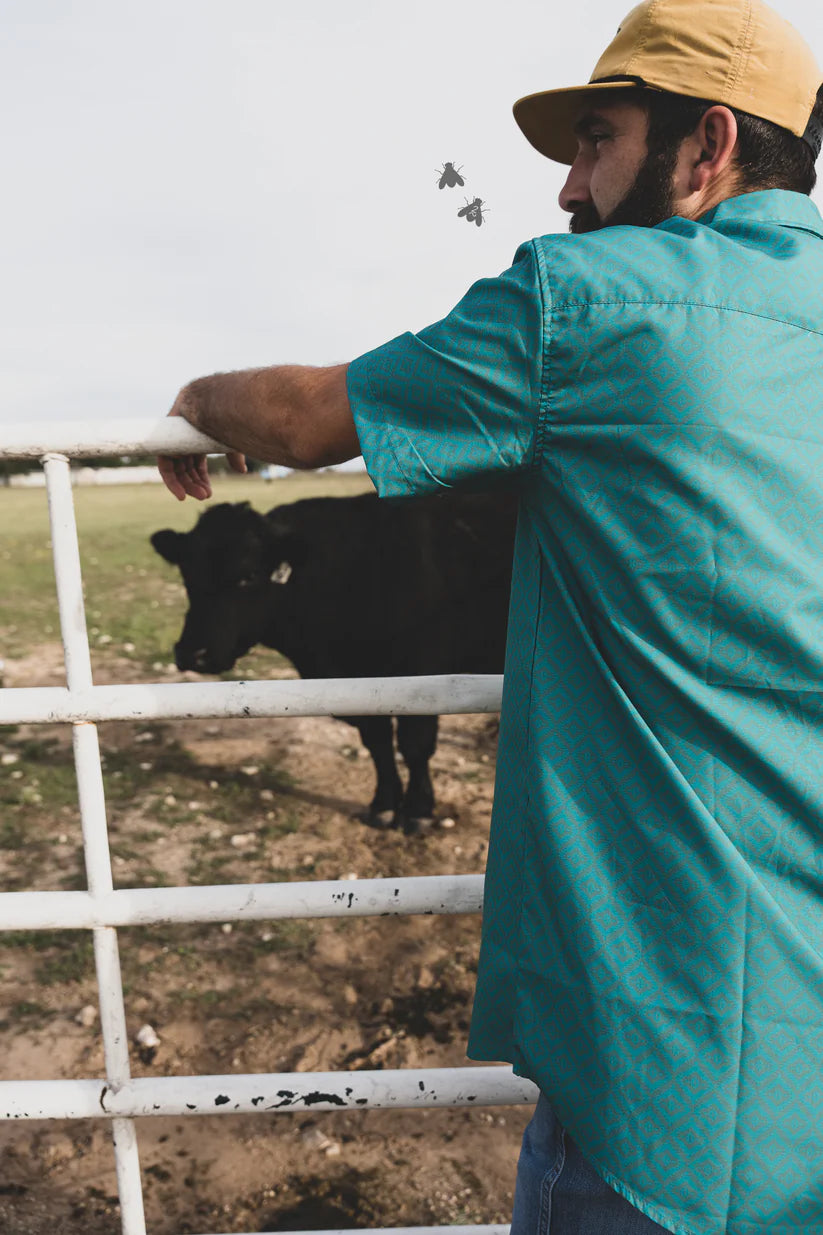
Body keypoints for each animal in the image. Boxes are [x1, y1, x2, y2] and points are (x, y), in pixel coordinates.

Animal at [151, 489, 514, 829]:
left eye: (248, 576)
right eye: (186, 576)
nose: (192, 653)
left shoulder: (424, 675)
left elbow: (414, 746)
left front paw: (418, 811)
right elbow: (377, 743)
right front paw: (383, 805)